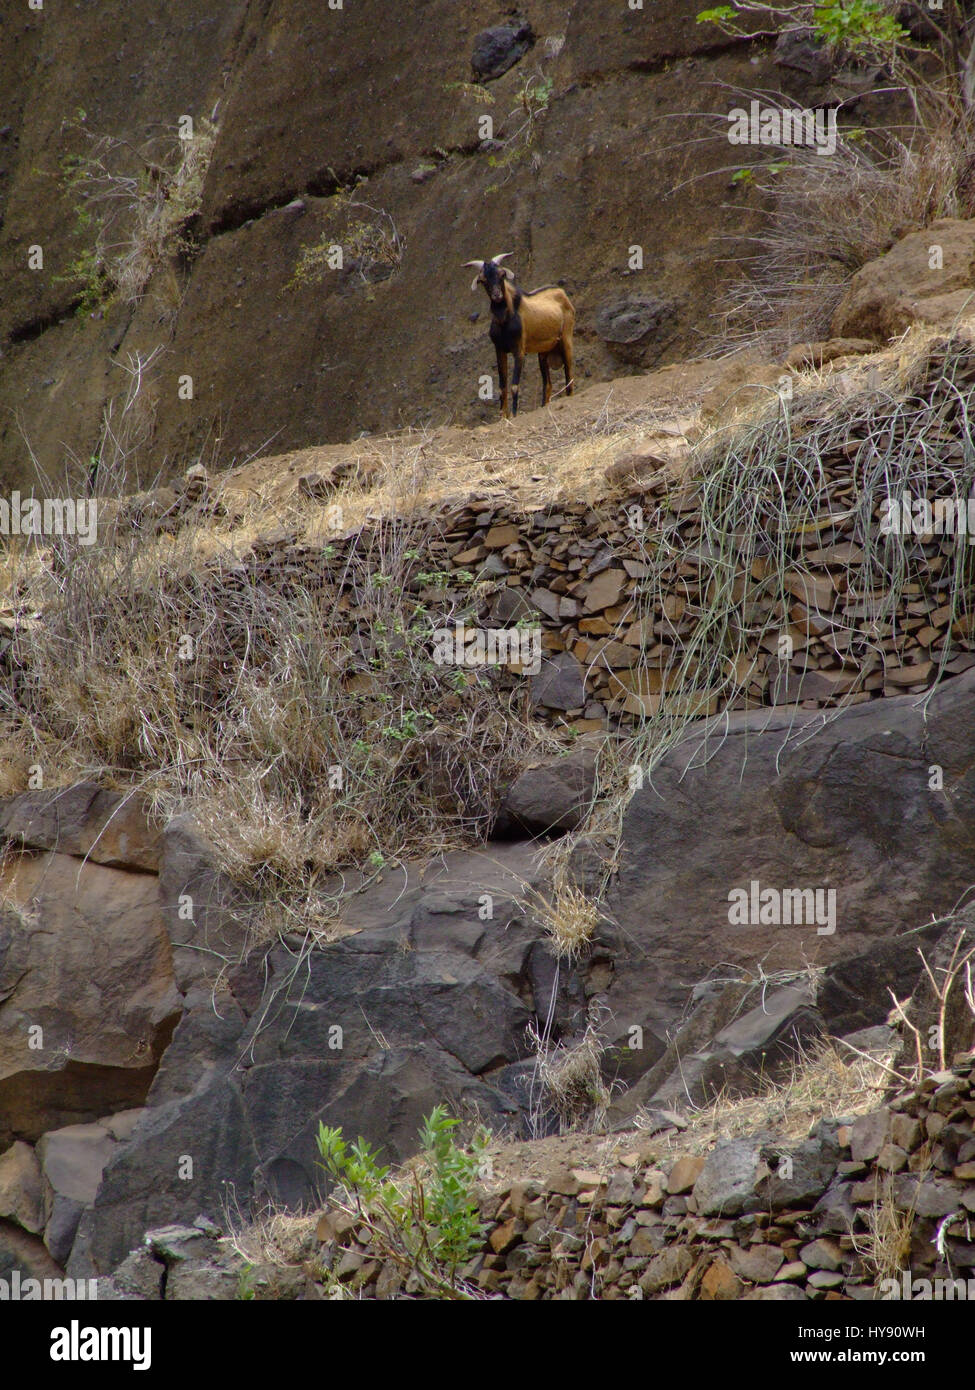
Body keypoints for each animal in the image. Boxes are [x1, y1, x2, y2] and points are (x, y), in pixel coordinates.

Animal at [461, 255, 573, 417]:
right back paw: (543, 405)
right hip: (543, 353)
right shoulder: (499, 350)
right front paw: (503, 416)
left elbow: (514, 385)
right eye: (483, 280)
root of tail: (562, 294)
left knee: (569, 374)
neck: (505, 319)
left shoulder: (519, 350)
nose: (497, 295)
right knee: (547, 384)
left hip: (566, 339)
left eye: (502, 274)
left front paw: (513, 414)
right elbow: (502, 387)